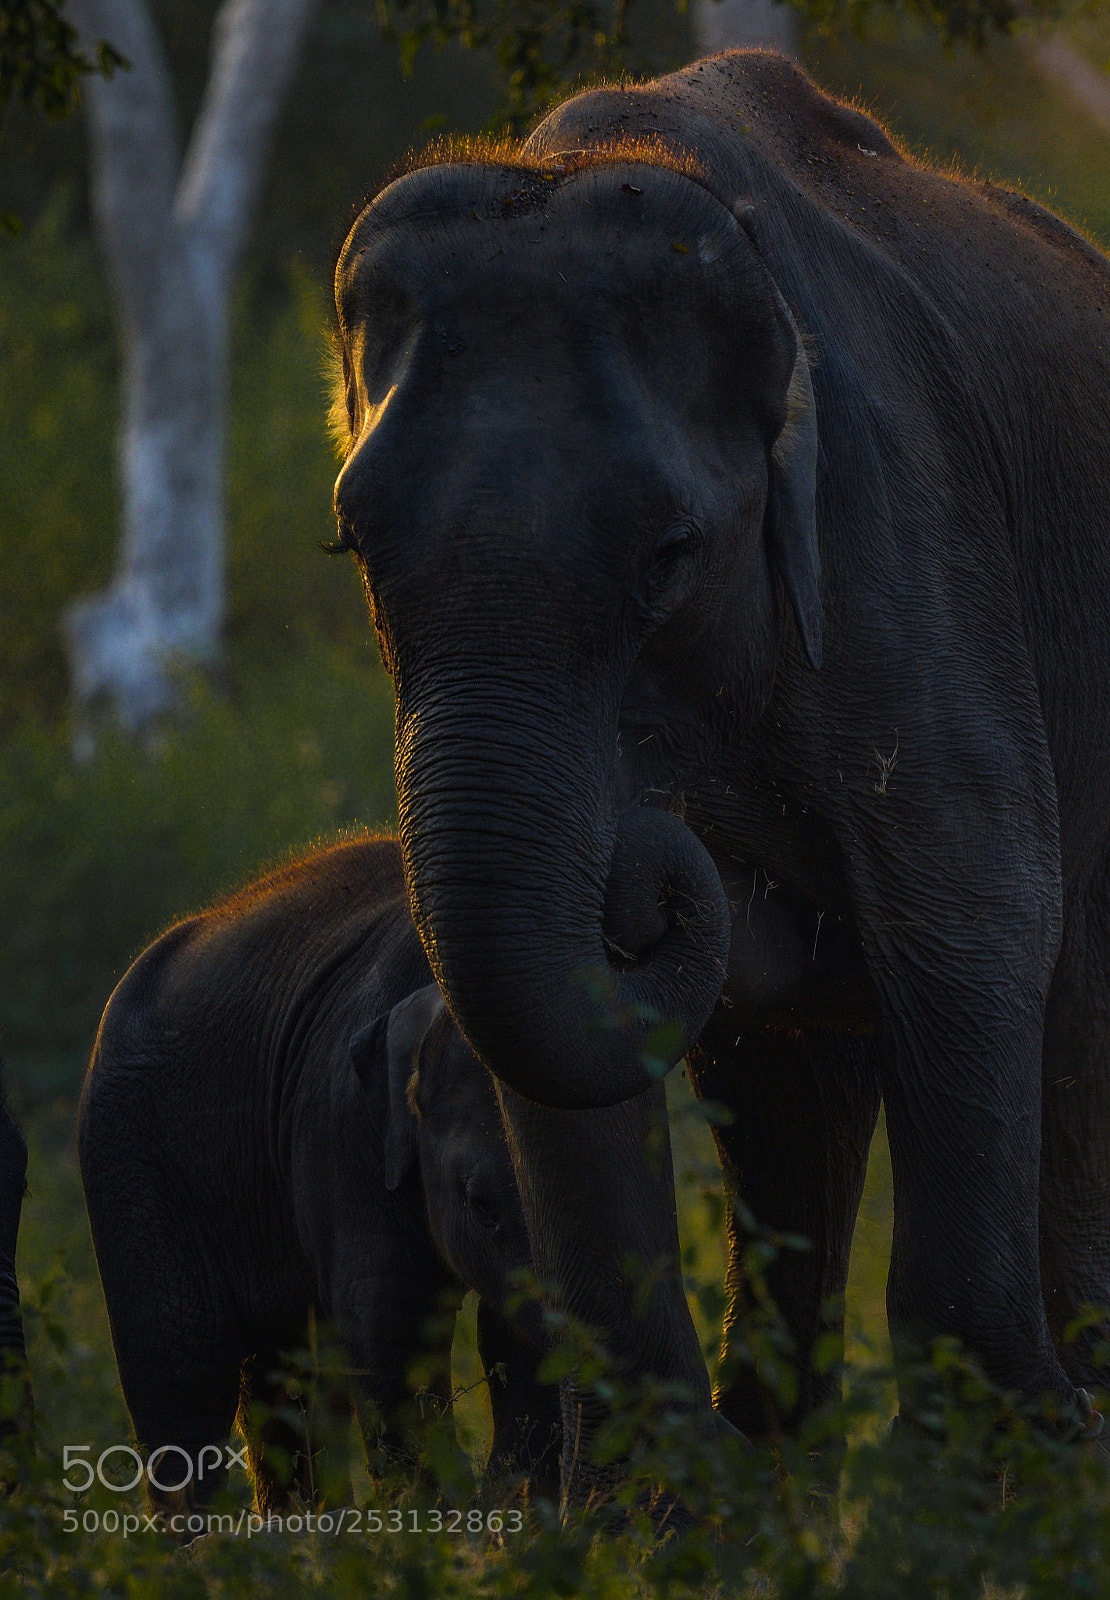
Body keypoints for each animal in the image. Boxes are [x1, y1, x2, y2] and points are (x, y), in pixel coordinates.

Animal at [78, 835, 560, 1518]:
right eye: (480, 1203)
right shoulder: (338, 1125)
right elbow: (385, 1320)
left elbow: (504, 1328)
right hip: (129, 1153)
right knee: (183, 1366)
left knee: (284, 1375)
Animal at [327, 44, 1110, 1471]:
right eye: (357, 548)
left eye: (669, 554)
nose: (656, 845)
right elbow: (556, 1024)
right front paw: (643, 1502)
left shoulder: (902, 534)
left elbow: (976, 912)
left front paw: (1007, 1470)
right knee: (799, 1077)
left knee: (1067, 989)